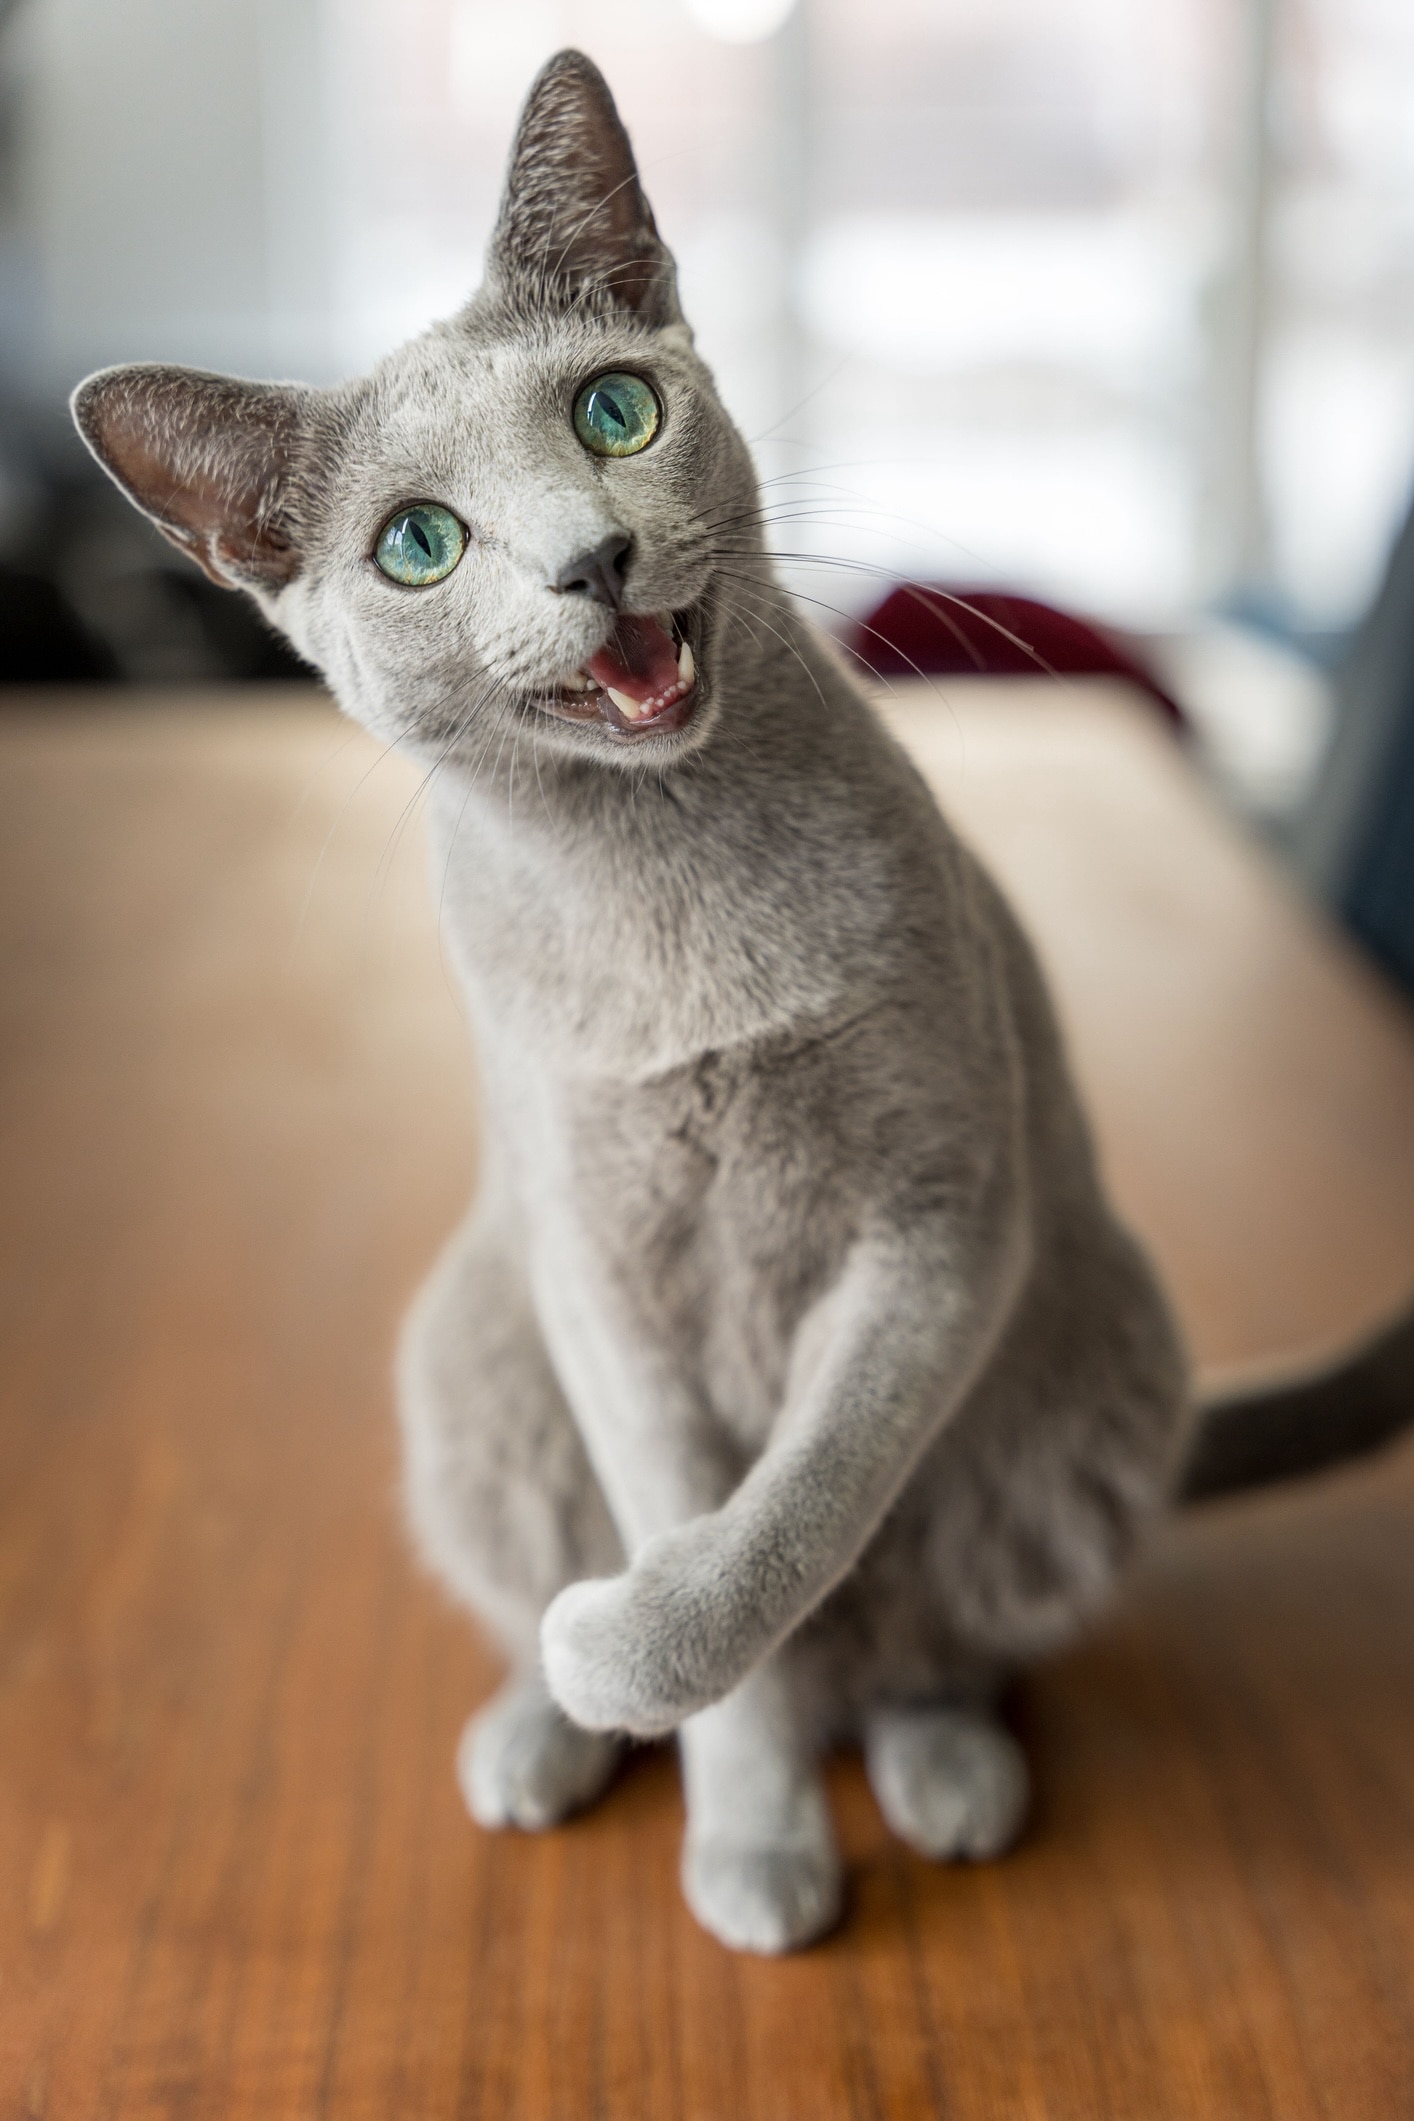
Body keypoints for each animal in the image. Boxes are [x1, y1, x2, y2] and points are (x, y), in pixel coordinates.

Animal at [74, 53, 1414, 1951]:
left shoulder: (943, 1213)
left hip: (1088, 1362)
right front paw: (737, 1822)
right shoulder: (590, 1259)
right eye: (418, 544)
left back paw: (943, 1766)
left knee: (928, 1630)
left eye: (616, 412)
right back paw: (534, 1736)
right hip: (472, 1346)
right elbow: (695, 1535)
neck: (667, 892)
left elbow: (802, 1507)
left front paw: (636, 1649)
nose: (589, 560)